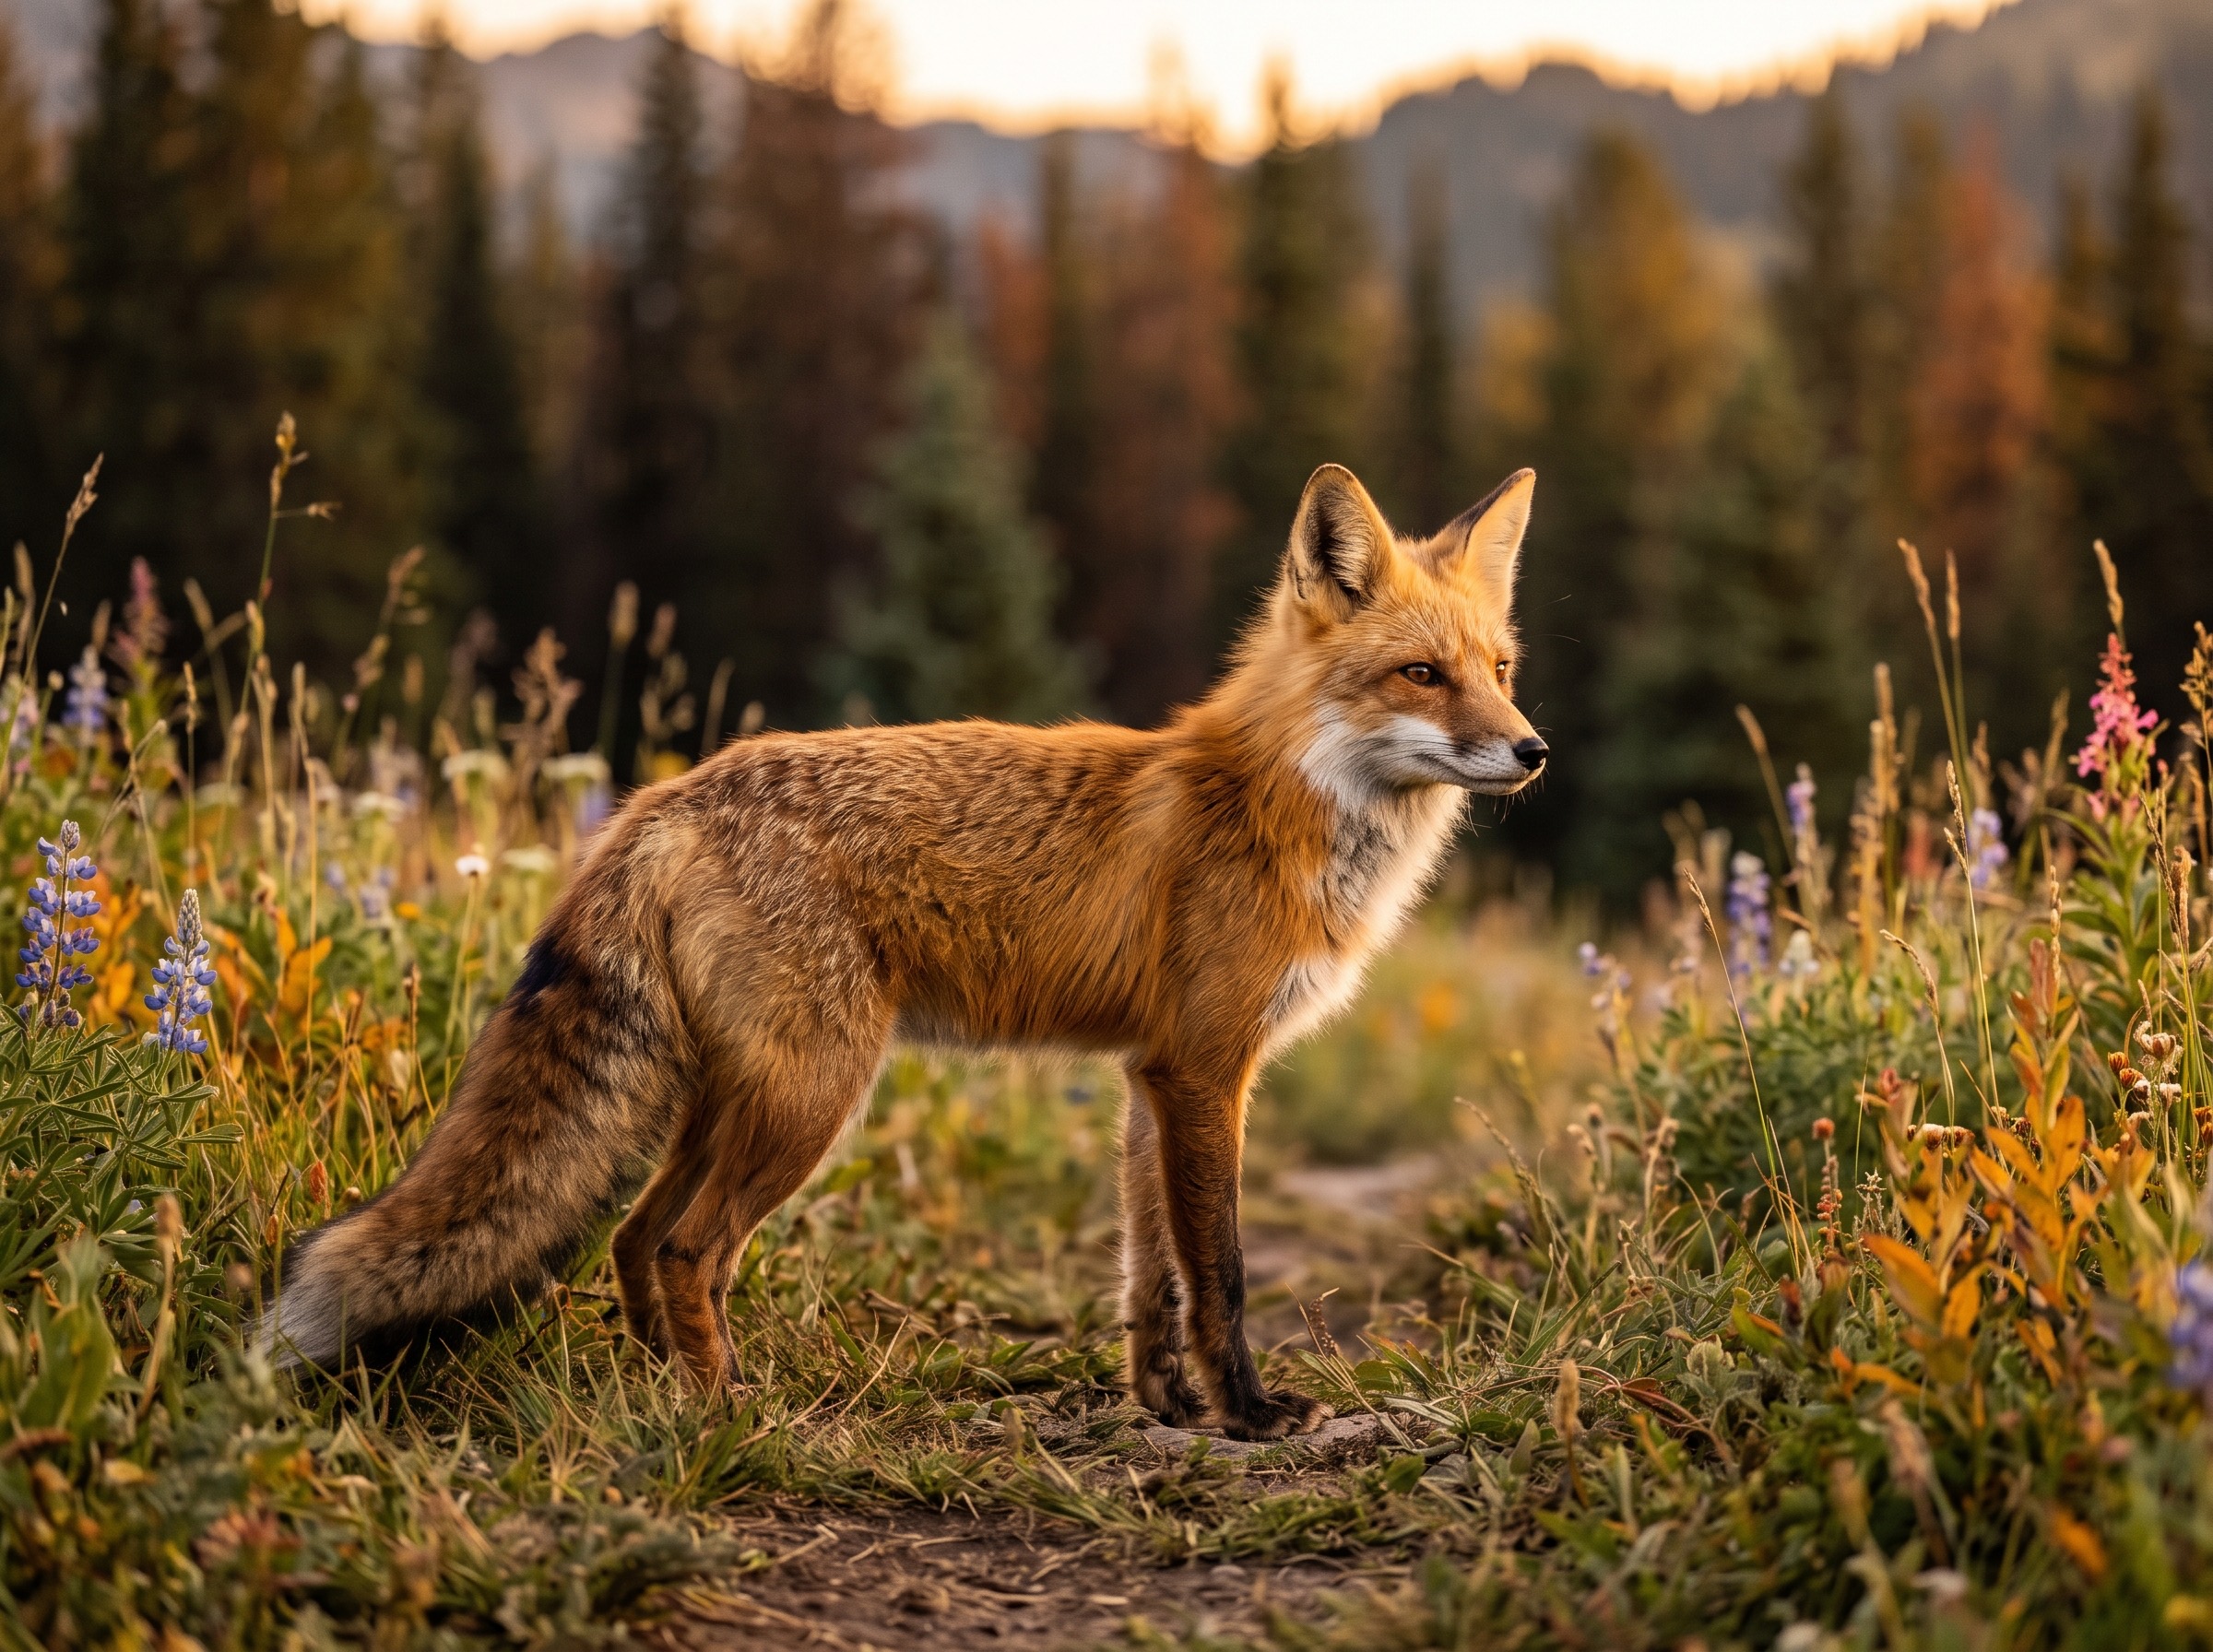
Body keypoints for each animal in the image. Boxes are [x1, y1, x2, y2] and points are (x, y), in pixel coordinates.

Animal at [262, 461, 1547, 1441]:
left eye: (1499, 669)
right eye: (1420, 674)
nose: (1532, 751)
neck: (1282, 804)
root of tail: (660, 800)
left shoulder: (1150, 1077)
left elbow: (1150, 1275)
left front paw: (1166, 1406)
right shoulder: (1204, 1070)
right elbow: (1220, 1271)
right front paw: (1247, 1415)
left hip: (736, 1098)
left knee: (631, 1237)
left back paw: (658, 1392)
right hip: (813, 1098)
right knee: (683, 1246)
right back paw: (725, 1414)